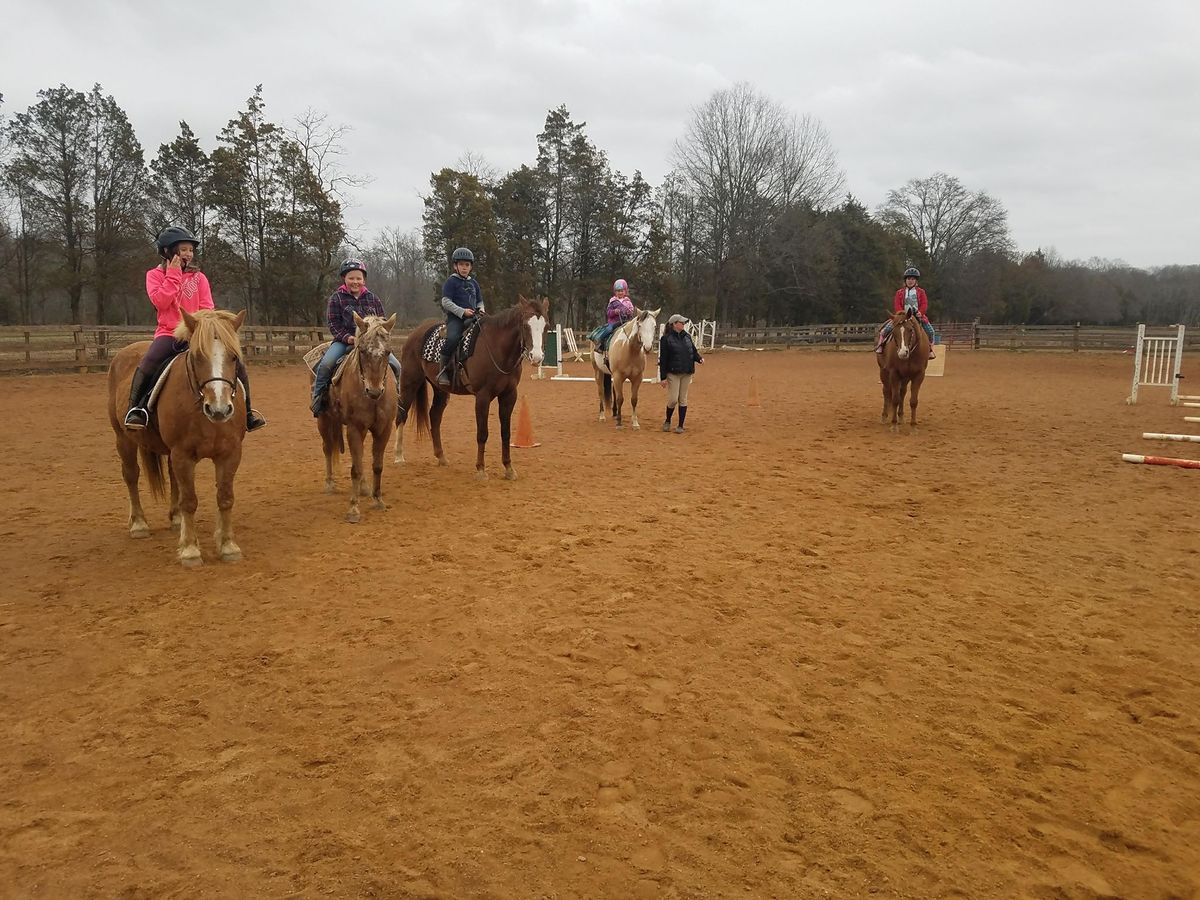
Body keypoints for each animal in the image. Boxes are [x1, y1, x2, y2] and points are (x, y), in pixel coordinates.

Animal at [106, 307, 249, 566]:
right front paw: (190, 550)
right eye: (197, 356)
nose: (220, 409)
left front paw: (228, 546)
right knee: (131, 476)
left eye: (234, 357)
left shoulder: (230, 453)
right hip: (124, 439)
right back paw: (139, 524)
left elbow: (225, 497)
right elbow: (189, 500)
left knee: (173, 479)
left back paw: (176, 519)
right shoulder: (183, 454)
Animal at [393, 294, 549, 480]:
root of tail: (415, 333)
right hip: (409, 382)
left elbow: (505, 432)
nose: (537, 357)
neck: (496, 348)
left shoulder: (509, 395)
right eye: (525, 325)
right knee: (401, 415)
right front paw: (481, 469)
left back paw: (441, 457)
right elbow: (482, 433)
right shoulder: (482, 397)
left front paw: (509, 469)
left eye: (546, 326)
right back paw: (399, 456)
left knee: (435, 417)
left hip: (440, 390)